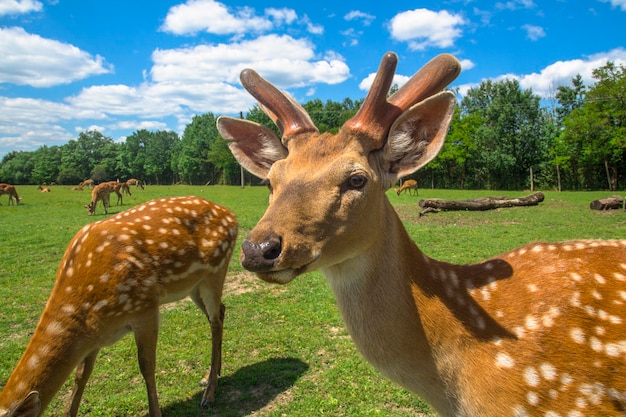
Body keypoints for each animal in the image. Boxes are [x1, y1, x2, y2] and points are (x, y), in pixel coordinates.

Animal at [0, 196, 238, 416]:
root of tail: (231, 215)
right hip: (193, 286)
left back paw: (209, 394)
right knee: (220, 311)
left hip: (216, 270)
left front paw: (155, 412)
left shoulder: (145, 306)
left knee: (215, 319)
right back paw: (211, 375)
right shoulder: (95, 336)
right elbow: (81, 374)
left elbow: (147, 365)